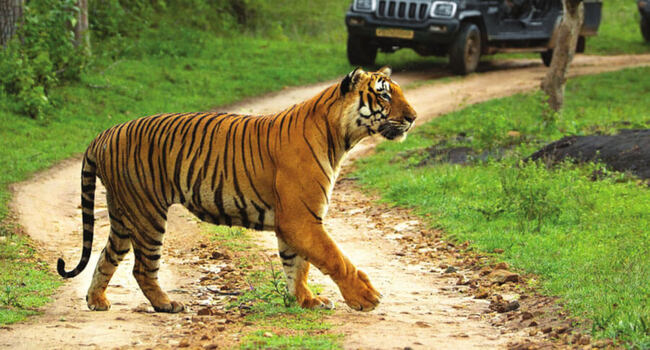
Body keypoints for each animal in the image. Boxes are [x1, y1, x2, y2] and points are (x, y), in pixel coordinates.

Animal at [58, 67, 418, 314]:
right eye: (384, 95)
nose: (413, 118)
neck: (339, 136)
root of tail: (104, 133)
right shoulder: (301, 218)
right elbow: (335, 257)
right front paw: (365, 297)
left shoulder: (296, 220)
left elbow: (297, 265)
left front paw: (306, 300)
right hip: (147, 213)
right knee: (142, 267)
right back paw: (166, 304)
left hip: (123, 214)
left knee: (106, 256)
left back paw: (97, 300)